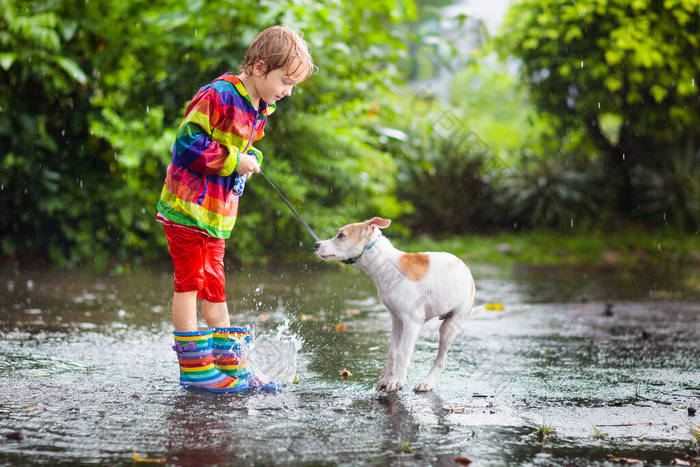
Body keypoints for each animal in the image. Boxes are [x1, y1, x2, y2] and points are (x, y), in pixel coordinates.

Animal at [316, 218, 476, 394]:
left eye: (341, 235)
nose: (316, 244)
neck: (386, 265)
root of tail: (465, 268)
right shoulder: (397, 320)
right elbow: (393, 351)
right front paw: (387, 379)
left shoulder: (412, 322)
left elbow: (403, 353)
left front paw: (397, 381)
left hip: (449, 327)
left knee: (441, 359)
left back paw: (427, 382)